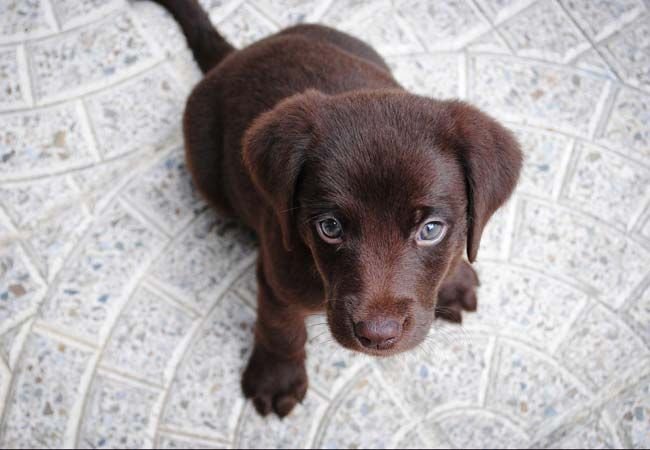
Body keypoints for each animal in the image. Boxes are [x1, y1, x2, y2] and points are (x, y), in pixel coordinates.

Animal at [149, 0, 522, 418]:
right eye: (329, 227)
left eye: (431, 229)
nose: (377, 336)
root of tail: (234, 56)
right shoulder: (277, 274)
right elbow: (280, 327)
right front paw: (276, 378)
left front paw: (454, 279)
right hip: (206, 170)